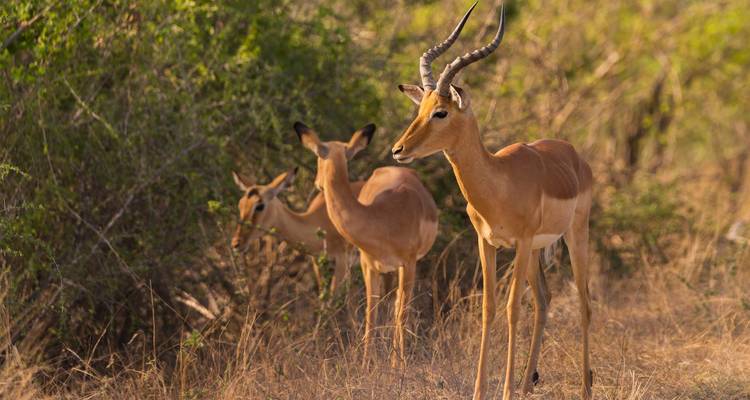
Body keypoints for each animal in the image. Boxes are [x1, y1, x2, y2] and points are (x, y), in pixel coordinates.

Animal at [294, 121, 438, 366]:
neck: (380, 218)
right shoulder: (367, 265)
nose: (317, 183)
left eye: (318, 158)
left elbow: (402, 312)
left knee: (399, 306)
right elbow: (371, 313)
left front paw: (399, 367)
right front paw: (365, 366)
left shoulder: (409, 263)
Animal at [391, 3, 594, 399]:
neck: (499, 183)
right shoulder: (487, 242)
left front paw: (505, 391)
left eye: (441, 112)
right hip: (535, 252)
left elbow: (513, 308)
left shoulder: (521, 241)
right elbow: (489, 308)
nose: (398, 149)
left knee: (583, 301)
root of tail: (574, 154)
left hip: (573, 235)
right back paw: (528, 383)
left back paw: (585, 387)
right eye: (420, 110)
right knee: (544, 300)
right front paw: (481, 390)